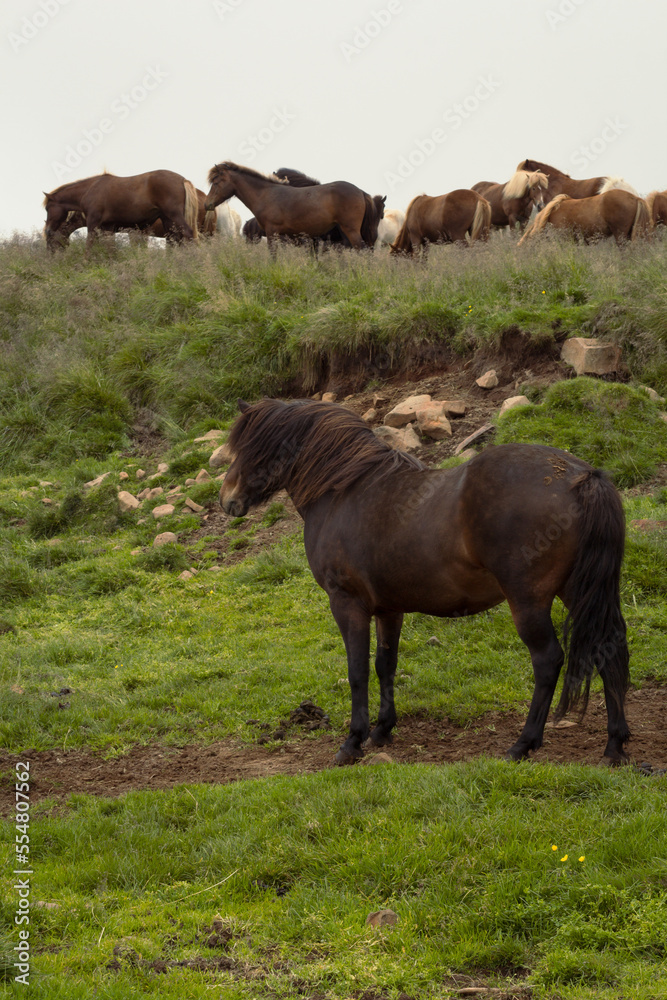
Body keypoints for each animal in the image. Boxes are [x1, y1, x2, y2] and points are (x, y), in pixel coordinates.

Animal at [43, 169, 200, 249]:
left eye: (47, 208)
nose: (48, 230)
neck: (90, 190)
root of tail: (182, 180)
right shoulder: (108, 228)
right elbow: (109, 249)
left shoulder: (93, 224)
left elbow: (89, 245)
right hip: (168, 220)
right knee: (175, 239)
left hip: (174, 216)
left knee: (188, 233)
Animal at [204, 162, 378, 250]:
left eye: (216, 182)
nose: (207, 204)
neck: (266, 194)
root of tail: (360, 191)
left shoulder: (272, 232)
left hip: (351, 230)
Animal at [220, 396, 632, 764]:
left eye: (250, 449)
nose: (227, 501)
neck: (345, 490)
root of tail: (580, 476)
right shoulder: (389, 608)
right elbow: (385, 665)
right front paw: (382, 730)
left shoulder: (347, 603)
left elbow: (357, 671)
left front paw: (352, 742)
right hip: (579, 592)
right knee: (607, 645)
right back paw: (614, 746)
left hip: (528, 601)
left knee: (547, 660)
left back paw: (522, 744)